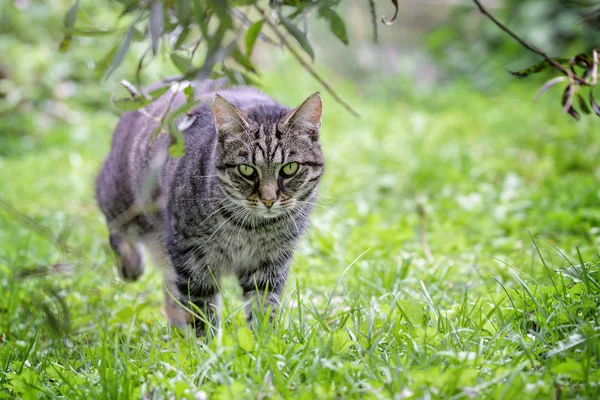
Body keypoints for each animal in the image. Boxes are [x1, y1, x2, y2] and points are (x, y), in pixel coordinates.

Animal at [95, 82, 324, 338]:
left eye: (290, 168)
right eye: (246, 169)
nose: (268, 199)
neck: (251, 228)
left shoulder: (270, 263)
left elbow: (263, 308)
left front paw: (263, 340)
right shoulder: (192, 257)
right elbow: (201, 309)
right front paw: (206, 344)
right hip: (120, 195)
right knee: (116, 225)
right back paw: (131, 265)